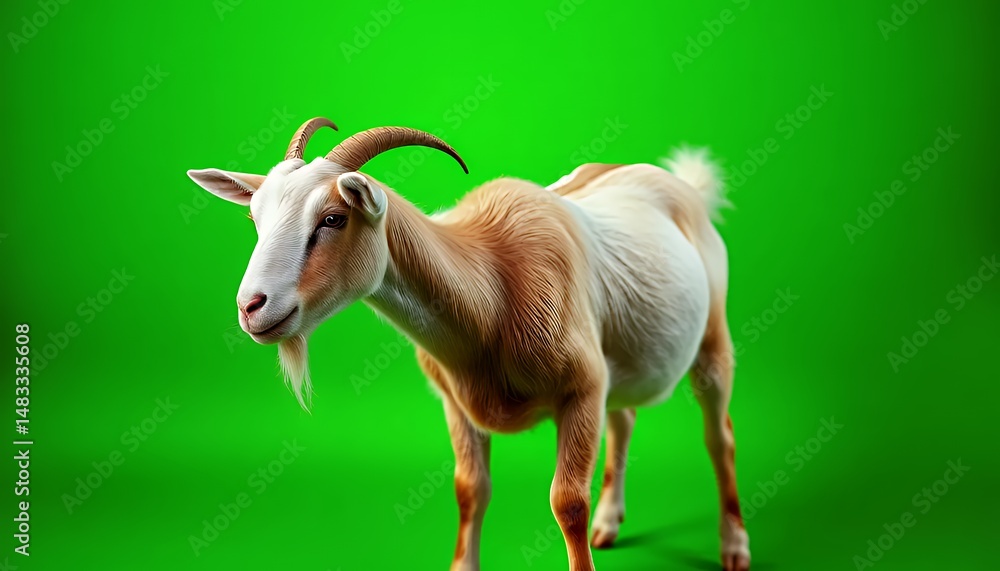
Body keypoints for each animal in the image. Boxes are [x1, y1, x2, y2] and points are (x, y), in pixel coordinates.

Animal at [187, 118, 751, 571]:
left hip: (713, 337)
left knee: (719, 436)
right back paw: (610, 526)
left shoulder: (583, 388)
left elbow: (567, 501)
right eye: (256, 219)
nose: (252, 307)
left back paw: (734, 548)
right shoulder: (454, 401)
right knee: (625, 417)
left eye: (332, 218)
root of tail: (682, 186)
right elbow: (470, 489)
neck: (493, 286)